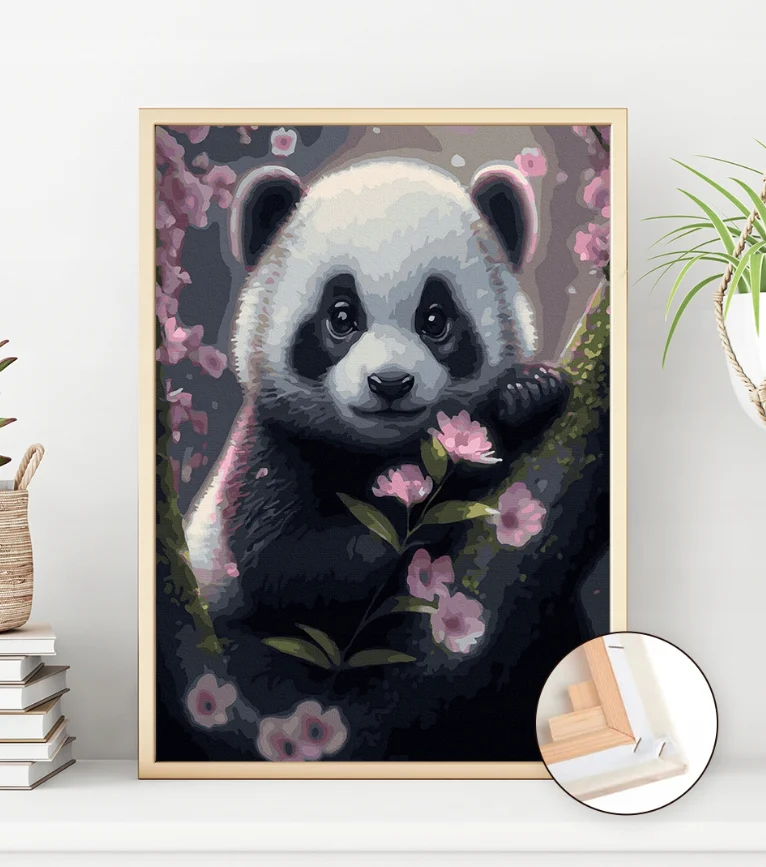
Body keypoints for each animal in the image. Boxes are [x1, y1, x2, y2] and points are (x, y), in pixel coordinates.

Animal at [182, 158, 570, 759]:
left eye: (435, 319)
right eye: (341, 316)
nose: (390, 383)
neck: (383, 449)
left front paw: (527, 393)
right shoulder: (270, 451)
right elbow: (294, 564)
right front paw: (454, 477)